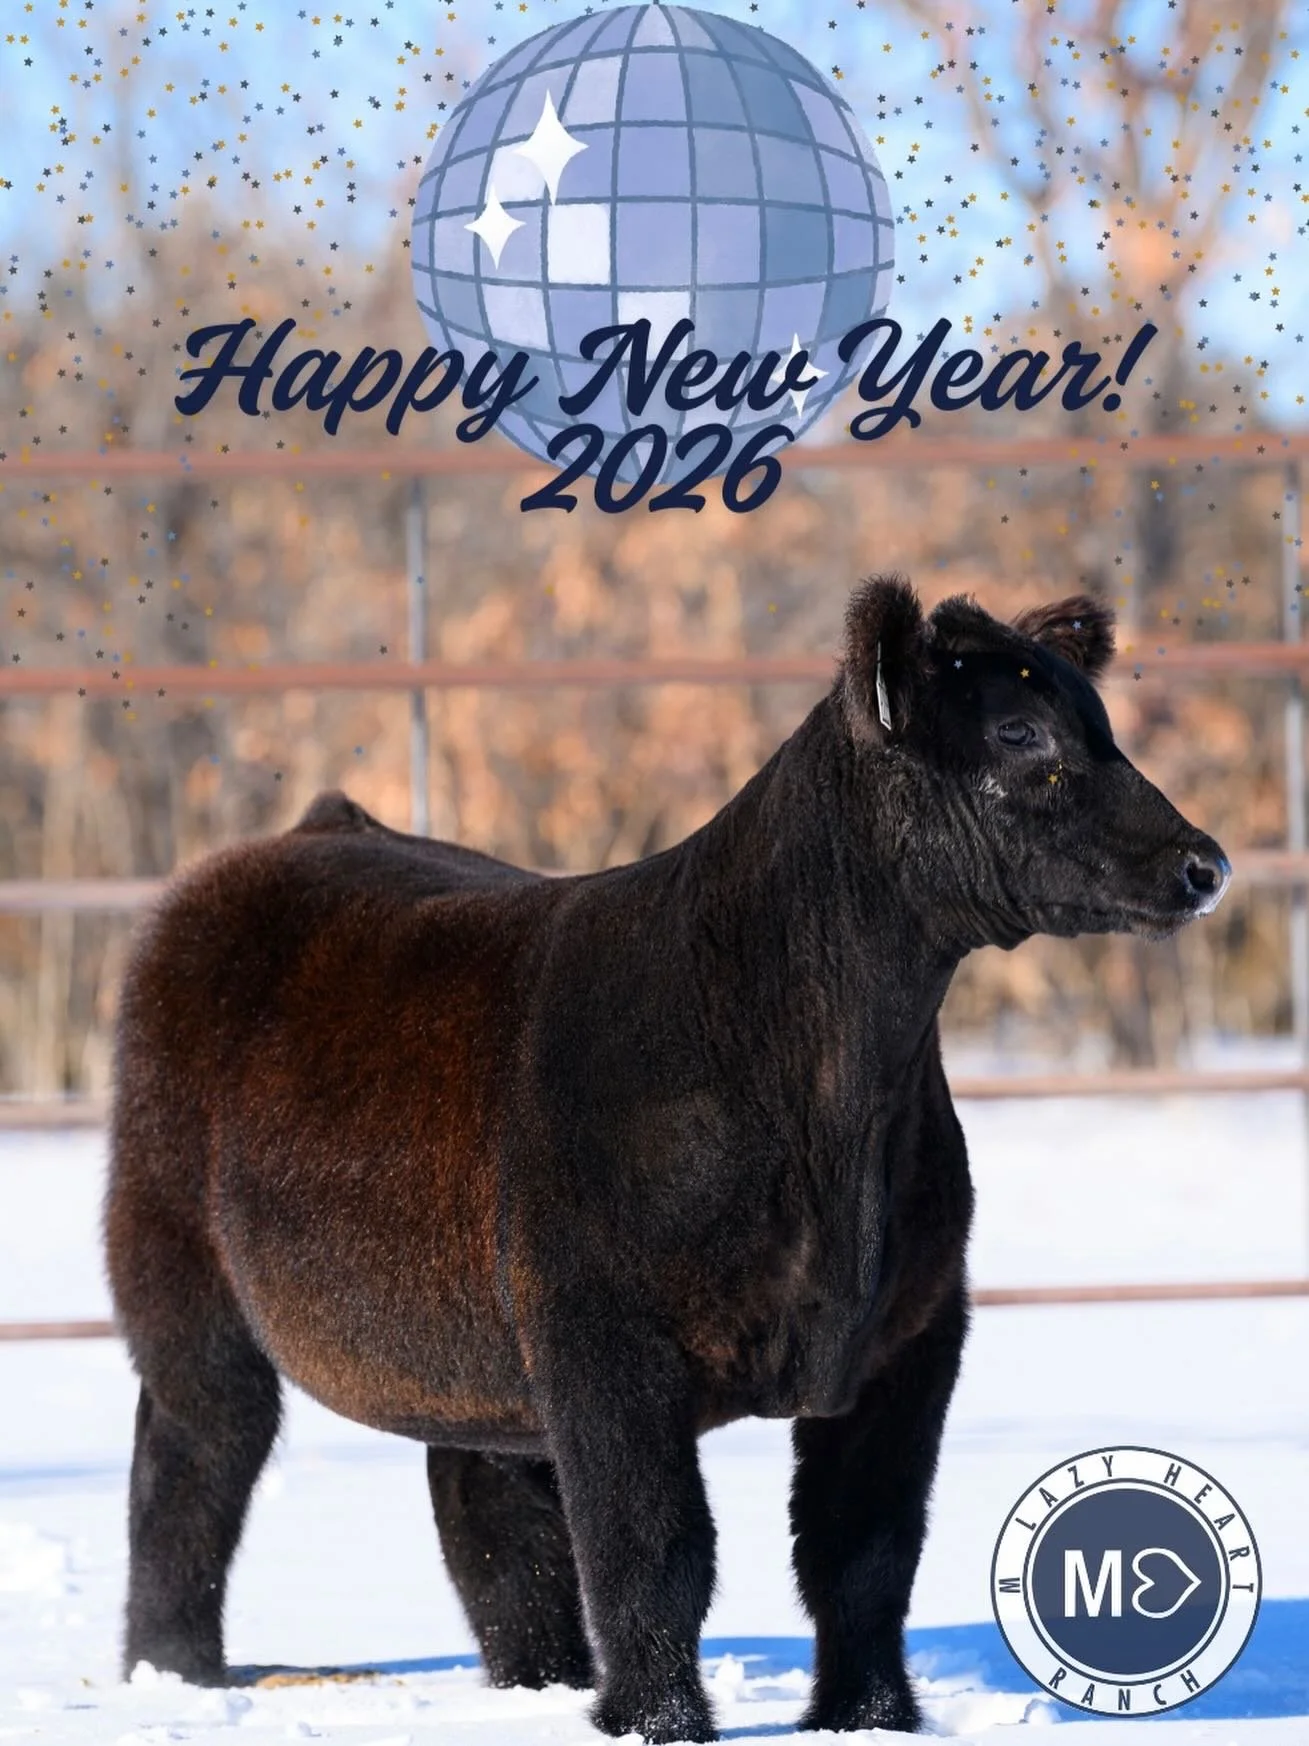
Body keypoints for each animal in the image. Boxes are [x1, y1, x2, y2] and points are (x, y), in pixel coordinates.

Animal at [104, 577, 1230, 1740]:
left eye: (1098, 723)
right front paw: (660, 1720)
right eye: (1018, 733)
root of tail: (310, 830)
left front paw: (868, 1717)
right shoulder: (605, 1336)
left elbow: (863, 1550)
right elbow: (654, 1549)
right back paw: (175, 1676)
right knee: (193, 1456)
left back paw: (540, 1687)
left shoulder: (914, 1327)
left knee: (488, 1510)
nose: (1203, 863)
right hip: (179, 1266)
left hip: (465, 1333)